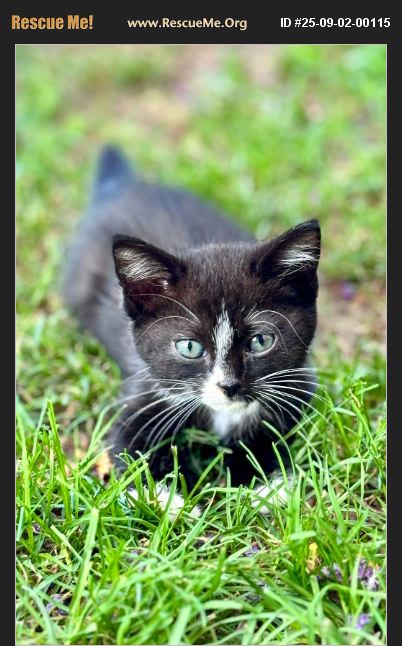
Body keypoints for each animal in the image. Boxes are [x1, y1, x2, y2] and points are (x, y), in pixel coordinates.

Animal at [63, 146, 321, 518]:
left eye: (261, 341)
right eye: (189, 348)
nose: (229, 386)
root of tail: (126, 185)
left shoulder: (297, 385)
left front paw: (264, 485)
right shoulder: (143, 391)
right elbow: (127, 448)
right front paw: (167, 500)